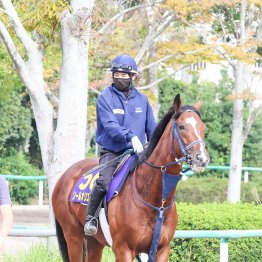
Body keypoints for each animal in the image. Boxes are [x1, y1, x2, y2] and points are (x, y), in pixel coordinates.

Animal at [52, 94, 210, 262]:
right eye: (181, 126)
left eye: (203, 127)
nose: (202, 158)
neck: (154, 200)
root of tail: (65, 177)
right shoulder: (123, 250)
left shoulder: (162, 250)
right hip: (73, 235)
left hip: (95, 242)